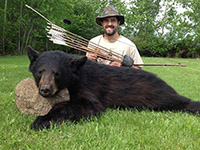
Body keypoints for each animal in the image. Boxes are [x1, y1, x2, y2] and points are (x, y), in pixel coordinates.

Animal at [27, 46, 200, 130]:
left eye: (57, 73)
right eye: (40, 71)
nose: (45, 89)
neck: (76, 74)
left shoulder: (87, 86)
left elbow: (86, 105)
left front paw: (42, 120)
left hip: (154, 94)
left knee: (180, 101)